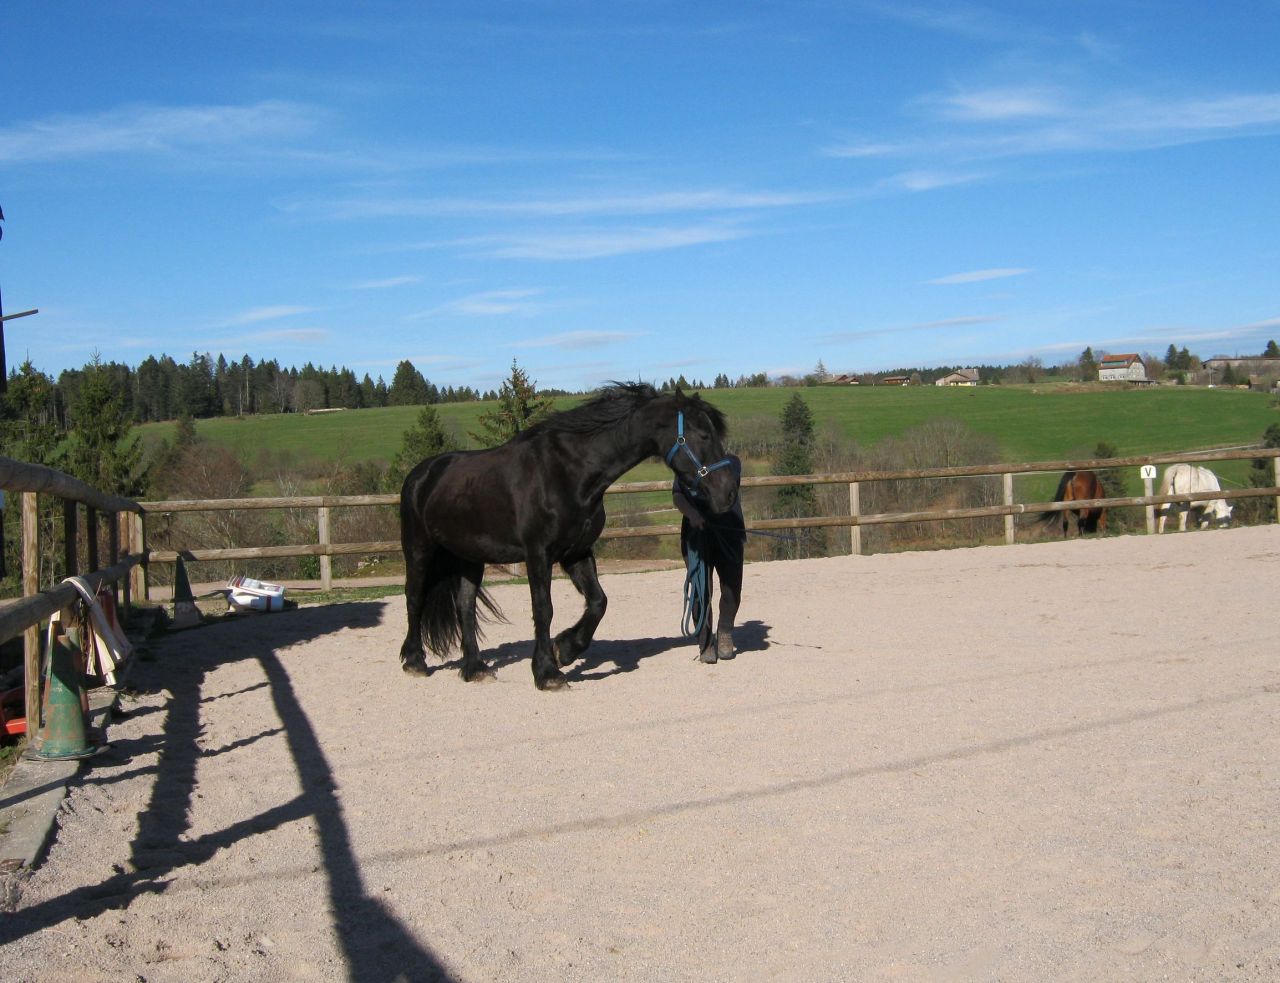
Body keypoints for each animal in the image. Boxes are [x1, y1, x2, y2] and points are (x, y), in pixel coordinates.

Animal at [398, 383, 737, 690]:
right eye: (703, 435)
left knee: (465, 606)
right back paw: (415, 661)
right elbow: (543, 609)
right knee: (414, 598)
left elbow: (599, 601)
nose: (727, 493)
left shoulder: (577, 551)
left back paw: (475, 668)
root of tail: (423, 473)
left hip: (470, 557)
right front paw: (547, 672)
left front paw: (566, 649)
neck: (568, 472)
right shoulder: (538, 554)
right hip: (419, 550)